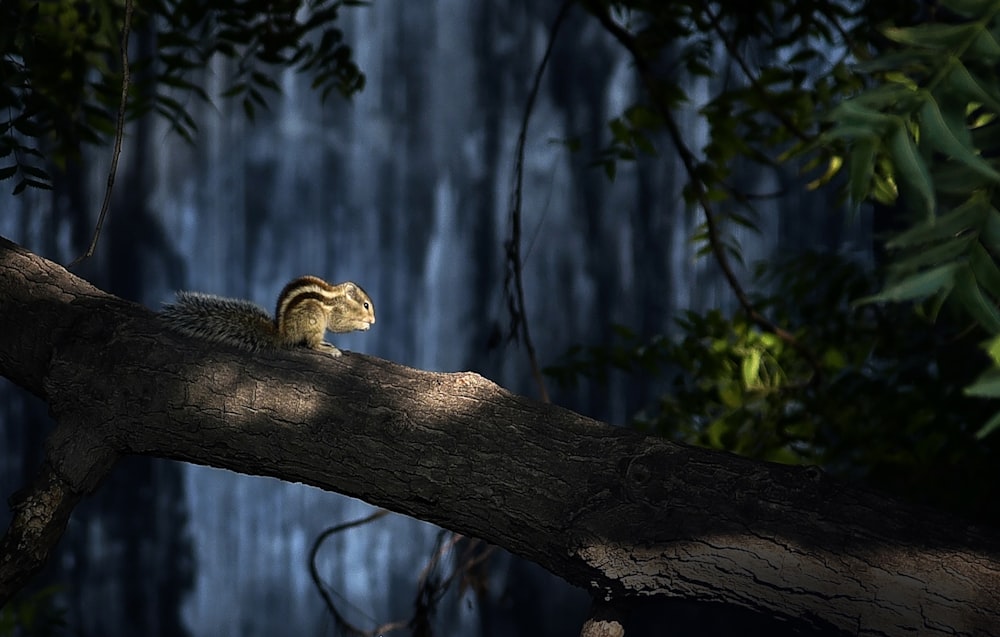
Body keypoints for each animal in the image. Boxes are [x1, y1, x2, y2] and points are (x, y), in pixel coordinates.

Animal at [160, 274, 376, 358]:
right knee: (311, 344)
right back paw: (327, 349)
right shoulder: (335, 313)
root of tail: (283, 334)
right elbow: (339, 325)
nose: (373, 320)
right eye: (366, 305)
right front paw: (363, 325)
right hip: (314, 318)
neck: (338, 298)